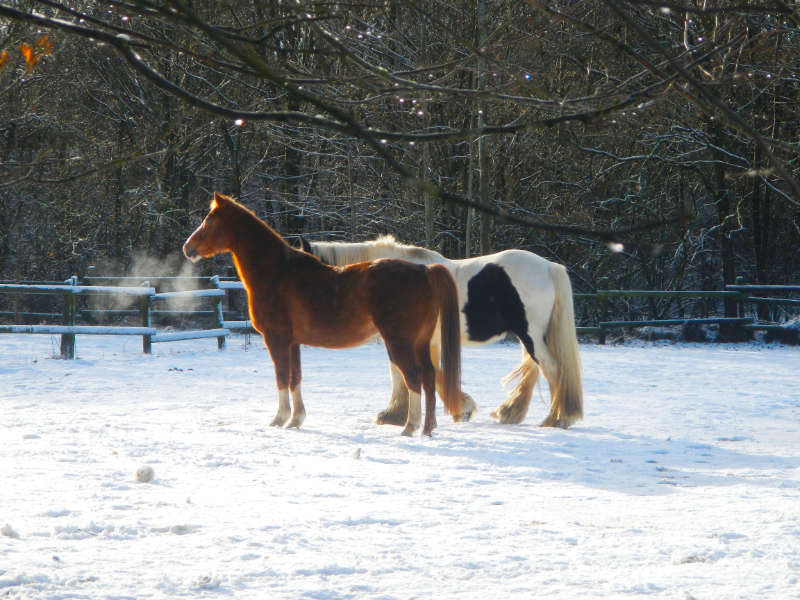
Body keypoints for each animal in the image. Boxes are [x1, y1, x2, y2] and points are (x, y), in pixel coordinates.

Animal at [182, 193, 464, 436]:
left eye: (210, 220)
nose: (187, 247)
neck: (277, 272)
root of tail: (423, 271)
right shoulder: (293, 343)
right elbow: (295, 378)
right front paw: (296, 420)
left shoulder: (276, 340)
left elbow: (281, 377)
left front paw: (279, 419)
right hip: (420, 343)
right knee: (429, 378)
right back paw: (427, 429)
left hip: (400, 344)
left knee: (414, 379)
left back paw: (409, 427)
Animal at [299, 235, 583, 428]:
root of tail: (548, 267)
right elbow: (429, 374)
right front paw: (460, 408)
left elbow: (403, 373)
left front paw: (392, 415)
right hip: (529, 337)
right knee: (534, 370)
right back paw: (512, 412)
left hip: (531, 335)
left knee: (552, 369)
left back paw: (557, 419)